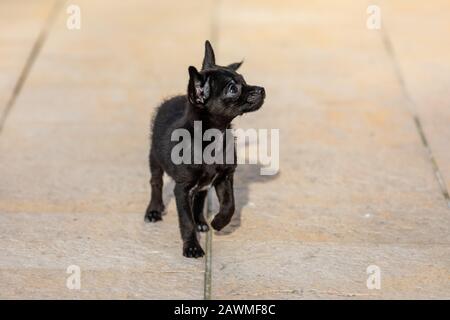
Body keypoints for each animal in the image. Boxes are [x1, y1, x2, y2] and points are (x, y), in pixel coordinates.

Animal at [145, 41, 264, 258]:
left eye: (244, 80)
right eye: (233, 89)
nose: (262, 90)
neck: (212, 140)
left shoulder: (225, 177)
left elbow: (230, 205)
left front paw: (218, 222)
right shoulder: (182, 189)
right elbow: (185, 221)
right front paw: (192, 247)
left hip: (203, 183)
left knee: (199, 198)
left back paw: (201, 221)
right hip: (155, 158)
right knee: (156, 183)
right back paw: (154, 210)